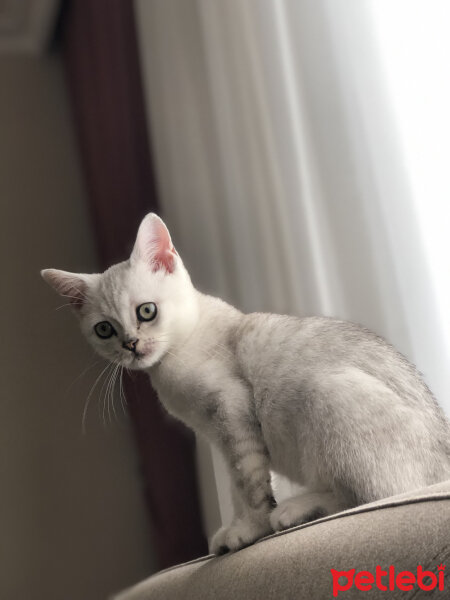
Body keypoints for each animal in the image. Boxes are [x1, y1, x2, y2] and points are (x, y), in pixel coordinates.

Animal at [40, 213, 448, 556]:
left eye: (146, 311)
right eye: (104, 330)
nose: (130, 344)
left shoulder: (233, 412)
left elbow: (248, 485)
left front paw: (250, 529)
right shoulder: (217, 436)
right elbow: (235, 488)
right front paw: (234, 528)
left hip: (326, 390)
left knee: (372, 494)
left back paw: (296, 509)